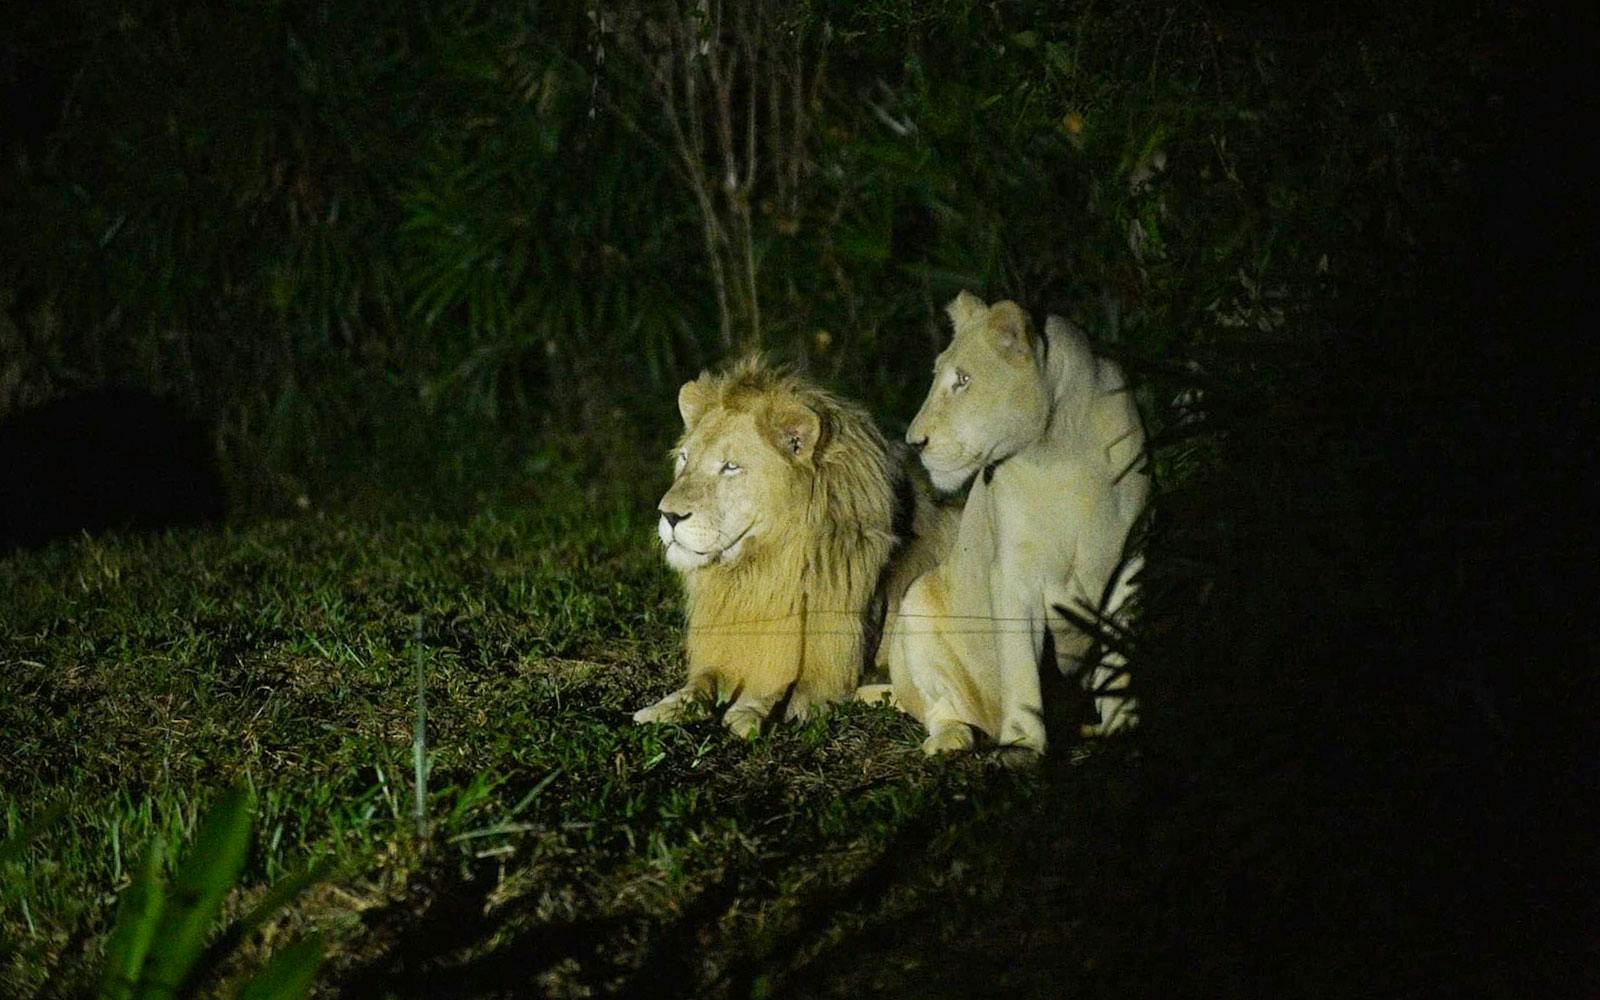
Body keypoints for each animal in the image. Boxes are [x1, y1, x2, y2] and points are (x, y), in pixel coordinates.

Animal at [633, 357, 936, 739]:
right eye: (685, 459)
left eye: (730, 467)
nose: (668, 515)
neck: (760, 571)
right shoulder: (725, 651)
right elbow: (699, 683)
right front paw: (665, 707)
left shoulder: (832, 673)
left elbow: (781, 688)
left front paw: (750, 712)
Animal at [870, 291, 1148, 760]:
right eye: (939, 377)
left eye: (963, 380)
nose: (914, 442)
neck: (1063, 450)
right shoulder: (1012, 575)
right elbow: (1020, 666)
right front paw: (1022, 745)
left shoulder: (1130, 564)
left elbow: (1120, 660)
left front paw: (1124, 728)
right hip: (917, 604)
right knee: (938, 706)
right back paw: (953, 738)